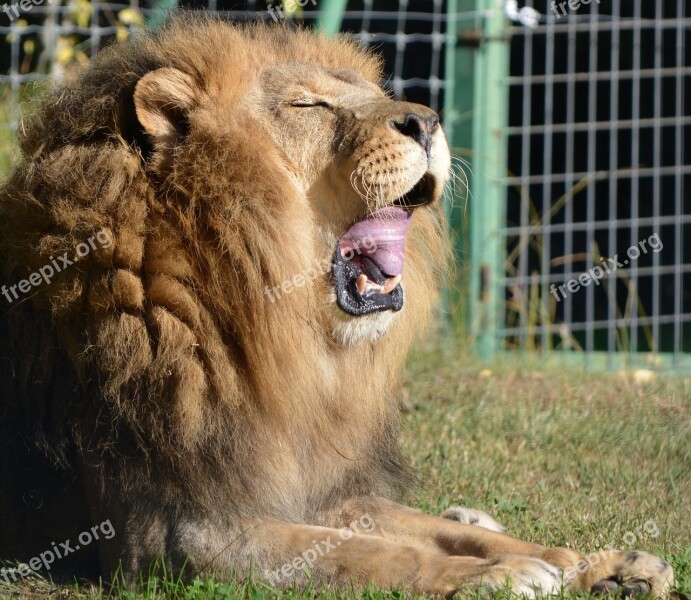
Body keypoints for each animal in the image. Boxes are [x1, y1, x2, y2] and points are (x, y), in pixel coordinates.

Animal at [0, 16, 676, 596]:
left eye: (372, 96)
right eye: (309, 106)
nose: (428, 122)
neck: (271, 331)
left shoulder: (327, 489)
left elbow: (427, 529)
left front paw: (599, 565)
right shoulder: (178, 535)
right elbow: (366, 553)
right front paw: (500, 576)